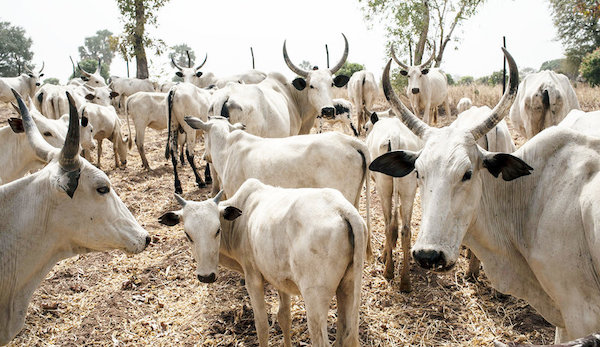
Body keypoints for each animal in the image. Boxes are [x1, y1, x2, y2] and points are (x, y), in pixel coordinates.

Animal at [157, 179, 368, 347]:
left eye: (217, 230)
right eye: (188, 234)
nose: (206, 276)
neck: (241, 221)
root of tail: (343, 209)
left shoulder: (253, 278)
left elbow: (262, 326)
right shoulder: (281, 279)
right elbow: (284, 317)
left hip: (315, 298)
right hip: (347, 288)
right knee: (345, 335)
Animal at [364, 113, 420, 290]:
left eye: (365, 127)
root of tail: (395, 137)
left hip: (384, 188)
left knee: (389, 225)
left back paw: (388, 271)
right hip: (409, 188)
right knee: (405, 230)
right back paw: (405, 282)